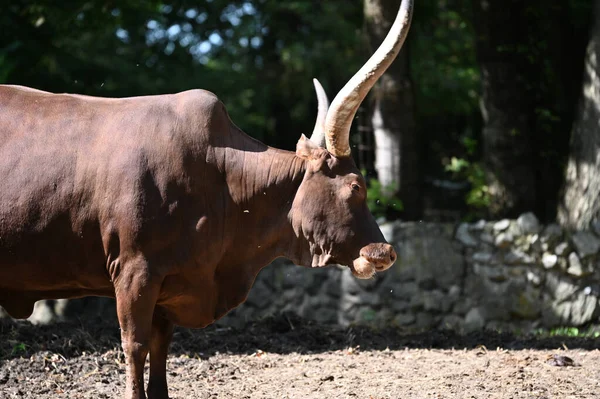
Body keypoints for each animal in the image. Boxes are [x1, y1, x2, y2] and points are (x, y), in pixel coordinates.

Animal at [0, 1, 412, 398]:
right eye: (356, 186)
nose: (385, 252)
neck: (219, 175)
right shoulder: (134, 272)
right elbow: (135, 346)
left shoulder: (170, 286)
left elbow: (160, 352)